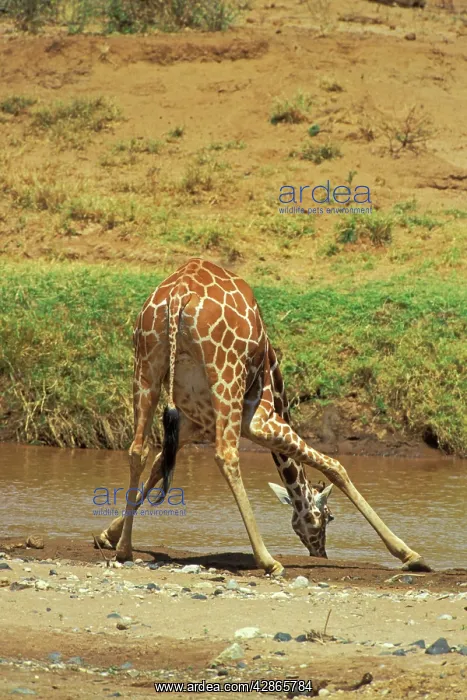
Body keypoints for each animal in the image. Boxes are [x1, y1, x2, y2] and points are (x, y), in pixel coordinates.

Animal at [96, 258, 431, 575]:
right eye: (327, 517)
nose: (320, 553)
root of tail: (179, 294)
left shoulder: (194, 422)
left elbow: (157, 464)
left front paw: (107, 535)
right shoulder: (260, 419)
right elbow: (335, 466)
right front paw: (410, 554)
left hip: (146, 366)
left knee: (137, 449)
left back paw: (124, 551)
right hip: (226, 374)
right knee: (227, 455)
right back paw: (269, 560)